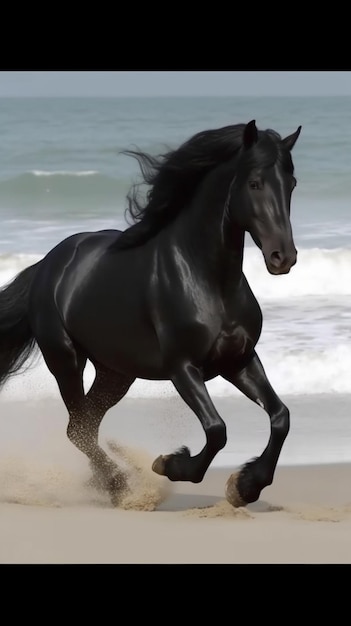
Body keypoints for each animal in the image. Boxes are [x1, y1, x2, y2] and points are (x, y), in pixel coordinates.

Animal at [0, 120, 302, 508]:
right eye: (254, 183)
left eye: (291, 184)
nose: (283, 257)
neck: (209, 279)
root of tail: (47, 265)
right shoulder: (182, 367)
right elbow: (216, 430)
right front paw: (171, 465)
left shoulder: (239, 360)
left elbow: (281, 417)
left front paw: (246, 486)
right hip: (66, 361)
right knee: (78, 430)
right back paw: (121, 486)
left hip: (115, 374)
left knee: (85, 426)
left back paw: (111, 483)